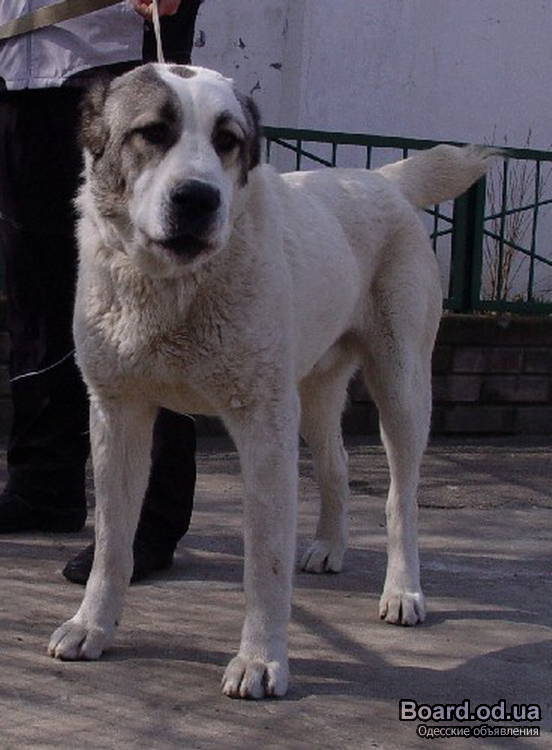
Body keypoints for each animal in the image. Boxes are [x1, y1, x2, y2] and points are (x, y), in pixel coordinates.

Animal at [47, 63, 492, 699]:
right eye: (152, 133)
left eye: (228, 141)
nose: (199, 197)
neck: (175, 288)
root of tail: (383, 180)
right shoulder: (117, 414)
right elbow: (112, 543)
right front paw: (92, 627)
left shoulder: (263, 424)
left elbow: (265, 559)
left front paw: (261, 660)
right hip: (312, 393)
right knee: (338, 466)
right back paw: (329, 547)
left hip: (402, 386)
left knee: (400, 497)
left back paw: (403, 590)